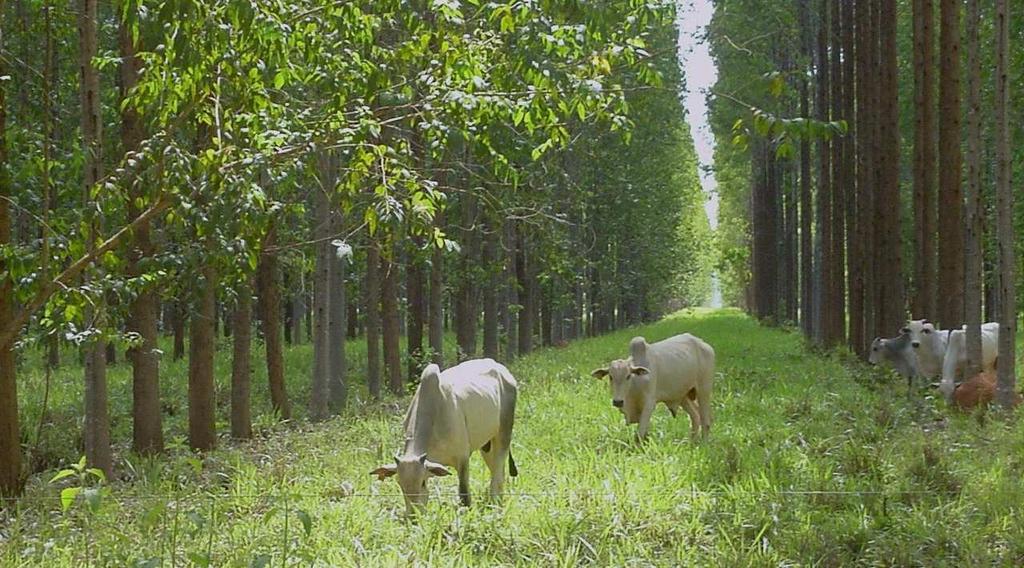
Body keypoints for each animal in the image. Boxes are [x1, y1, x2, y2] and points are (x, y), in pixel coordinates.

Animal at [370, 360, 520, 515]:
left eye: (422, 482)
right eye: (400, 484)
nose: (413, 515)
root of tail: (502, 369)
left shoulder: (462, 458)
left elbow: (464, 495)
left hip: (504, 434)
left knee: (498, 475)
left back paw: (496, 505)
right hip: (487, 446)